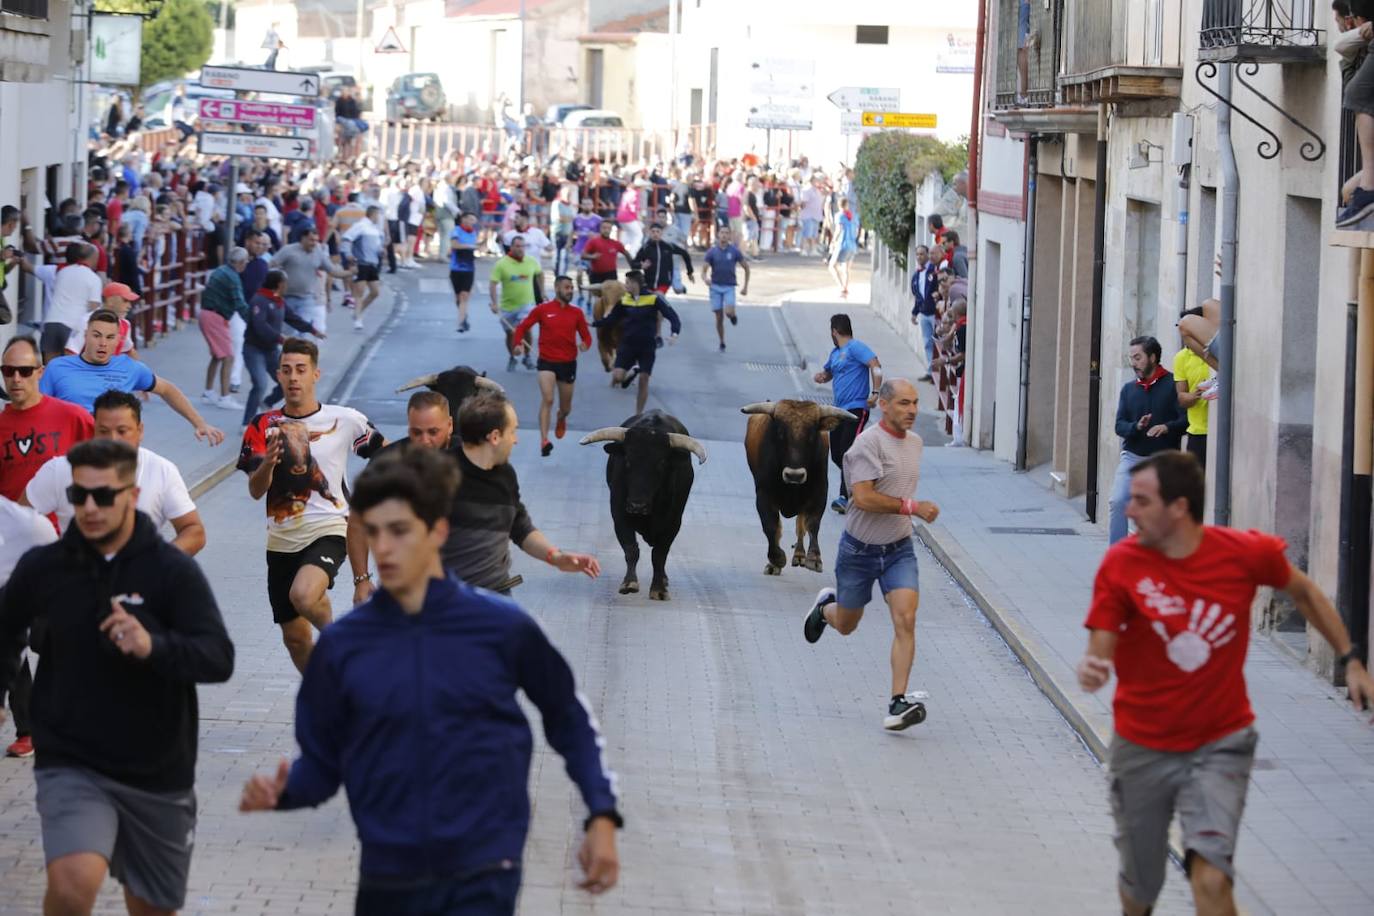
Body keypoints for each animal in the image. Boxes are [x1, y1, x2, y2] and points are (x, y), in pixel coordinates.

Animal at [579, 409, 708, 601]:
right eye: (627, 460)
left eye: (662, 463)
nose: (637, 506)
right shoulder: (619, 516)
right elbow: (631, 549)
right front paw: (629, 583)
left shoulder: (673, 523)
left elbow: (659, 555)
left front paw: (659, 588)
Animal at [747, 401, 851, 574]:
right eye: (780, 433)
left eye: (812, 435)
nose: (794, 475)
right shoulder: (763, 495)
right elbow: (771, 527)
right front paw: (777, 559)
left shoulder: (819, 492)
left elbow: (812, 524)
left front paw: (814, 558)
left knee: (800, 526)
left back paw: (800, 555)